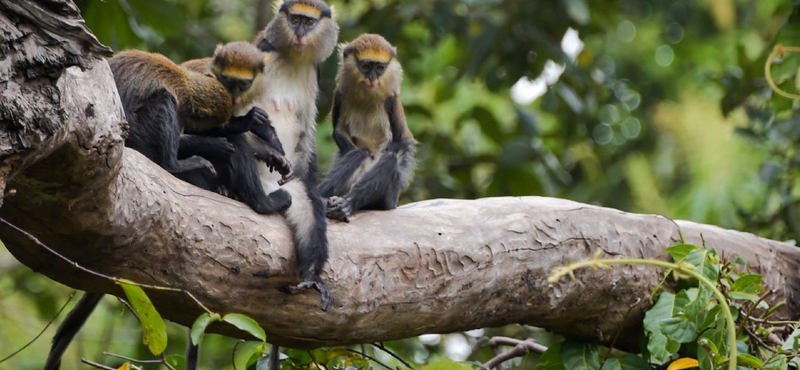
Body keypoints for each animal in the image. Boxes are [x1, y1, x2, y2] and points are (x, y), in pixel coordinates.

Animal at [318, 34, 418, 223]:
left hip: (388, 200)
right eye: (365, 67)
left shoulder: (392, 100)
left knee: (389, 159)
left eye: (379, 68)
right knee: (358, 153)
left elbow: (402, 141)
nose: (372, 79)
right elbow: (339, 133)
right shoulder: (340, 94)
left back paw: (346, 206)